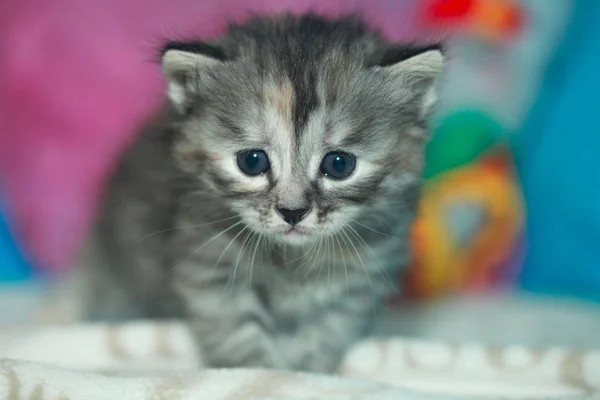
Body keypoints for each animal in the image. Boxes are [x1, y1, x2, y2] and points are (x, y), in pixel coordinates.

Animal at [79, 14, 446, 372]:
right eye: (252, 161)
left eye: (339, 165)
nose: (293, 212)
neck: (292, 260)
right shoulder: (210, 270)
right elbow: (240, 342)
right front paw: (261, 373)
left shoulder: (356, 284)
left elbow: (325, 340)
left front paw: (311, 375)